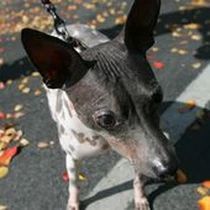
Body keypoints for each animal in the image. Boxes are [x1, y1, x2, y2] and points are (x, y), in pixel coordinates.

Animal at [20, 0, 178, 209]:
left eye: (158, 96)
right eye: (106, 119)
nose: (169, 168)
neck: (102, 137)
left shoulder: (137, 154)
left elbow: (138, 178)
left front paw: (140, 197)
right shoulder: (72, 159)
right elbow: (74, 185)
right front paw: (73, 203)